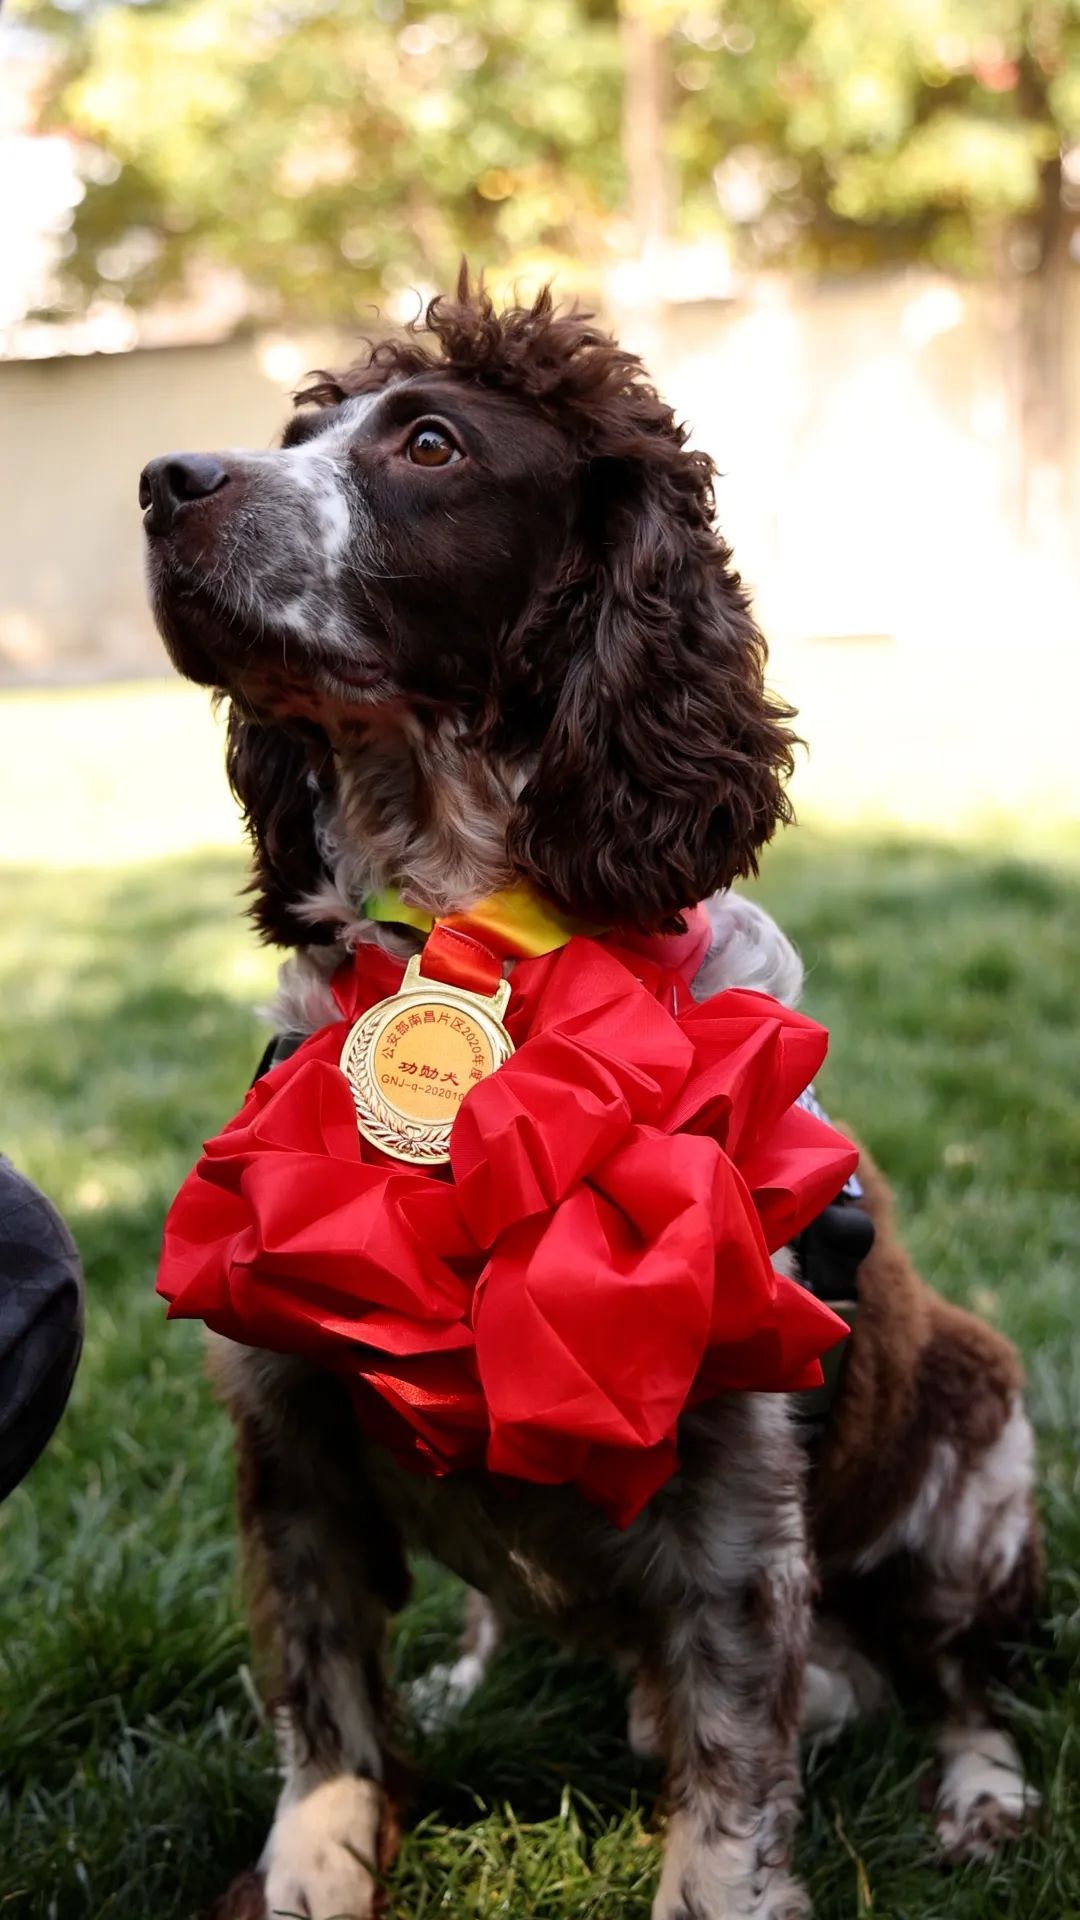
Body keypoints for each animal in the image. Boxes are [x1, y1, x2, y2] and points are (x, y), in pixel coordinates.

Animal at [138, 278, 1037, 1912]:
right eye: (296, 435)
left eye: (430, 443)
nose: (166, 482)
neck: (469, 929)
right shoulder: (289, 1440)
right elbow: (323, 1724)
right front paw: (317, 1859)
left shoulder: (738, 1504)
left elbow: (729, 1796)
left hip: (979, 1466)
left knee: (960, 1676)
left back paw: (984, 1795)